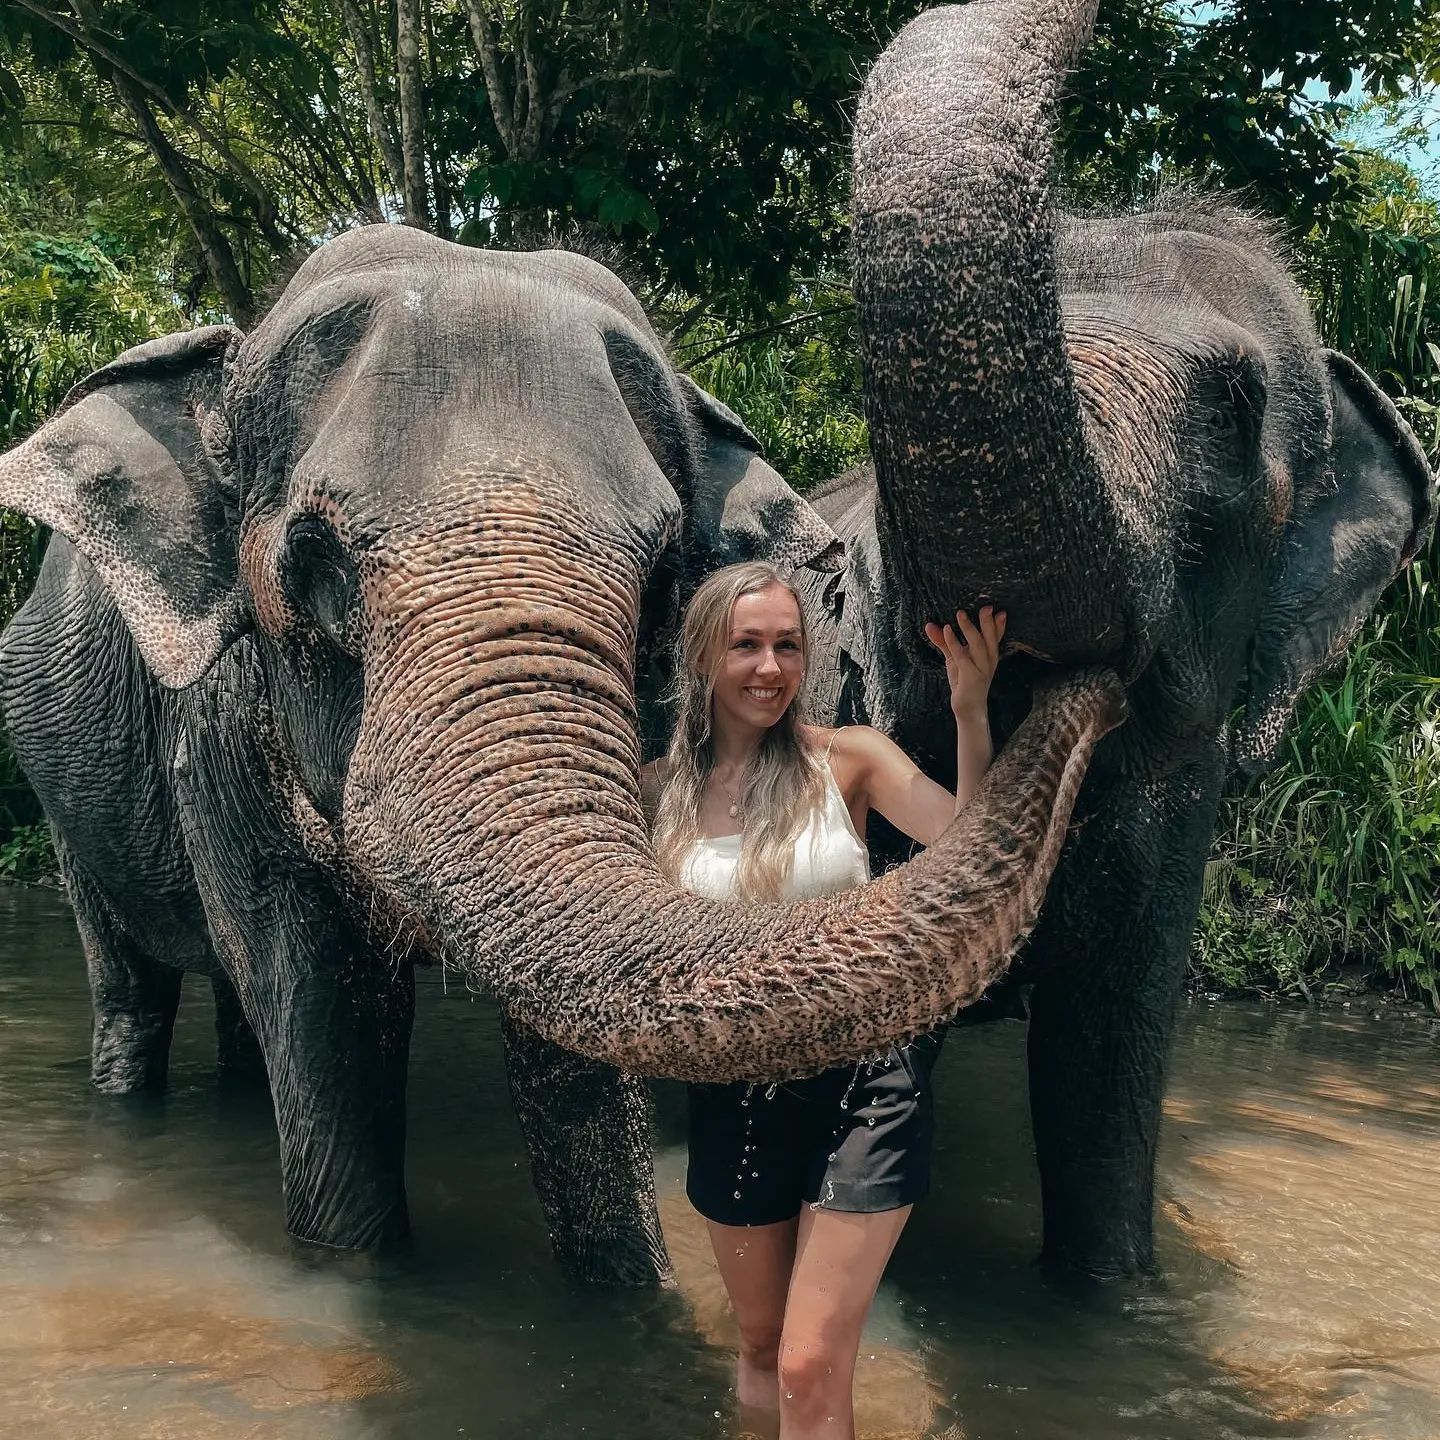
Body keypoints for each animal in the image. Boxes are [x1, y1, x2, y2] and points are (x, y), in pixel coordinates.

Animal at [0, 226, 1123, 1283]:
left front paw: (625, 1293)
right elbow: (317, 1000)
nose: (1098, 678)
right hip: (59, 791)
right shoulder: (220, 726)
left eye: (667, 575)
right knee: (132, 983)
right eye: (313, 565)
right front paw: (358, 1270)